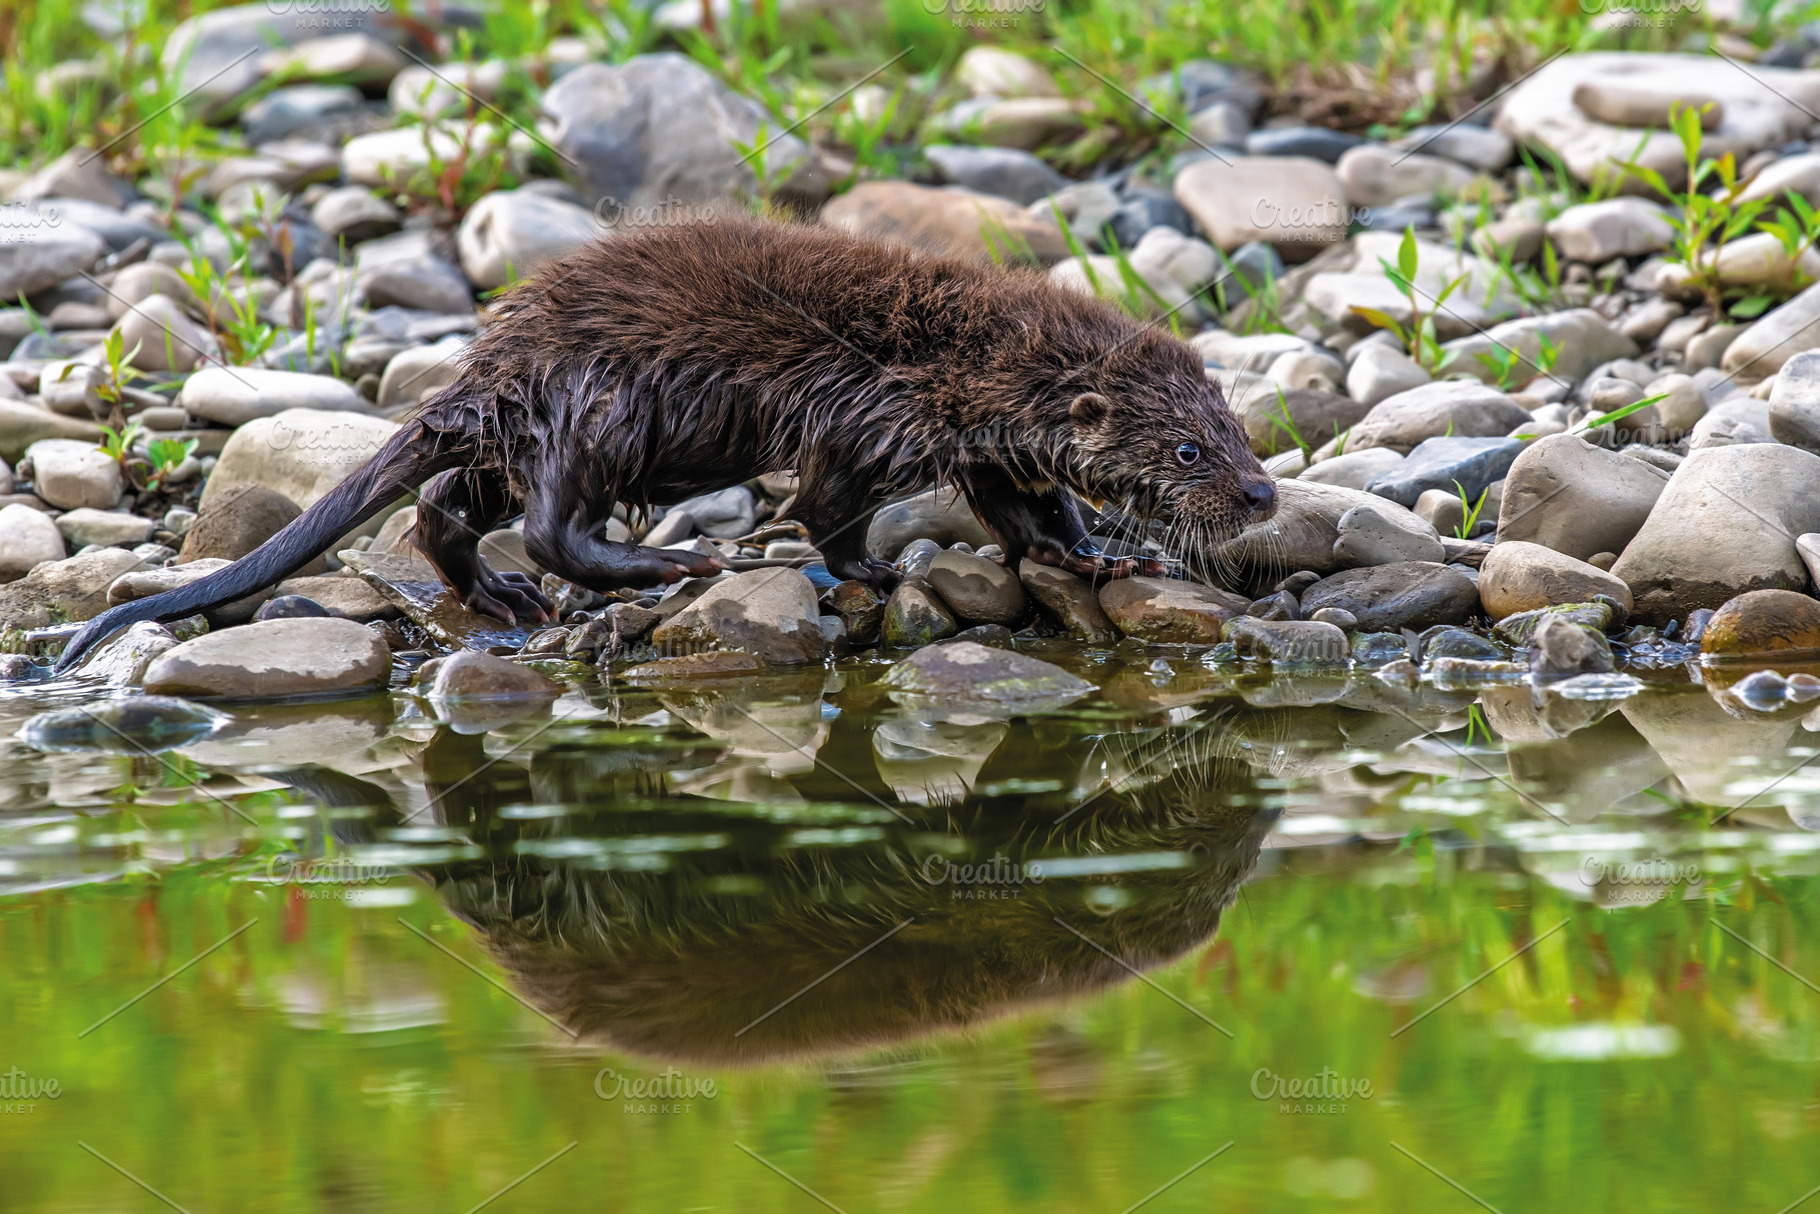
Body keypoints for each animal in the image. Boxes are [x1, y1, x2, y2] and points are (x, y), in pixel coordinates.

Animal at [57, 217, 1274, 670]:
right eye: (1188, 457)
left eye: (1238, 433)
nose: (1263, 498)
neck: (964, 356)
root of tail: (489, 365)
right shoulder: (867, 412)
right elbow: (829, 504)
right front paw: (878, 570)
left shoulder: (979, 441)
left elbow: (1029, 509)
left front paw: (1105, 552)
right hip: (599, 406)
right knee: (552, 523)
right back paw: (666, 563)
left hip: (521, 435)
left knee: (446, 509)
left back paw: (501, 598)